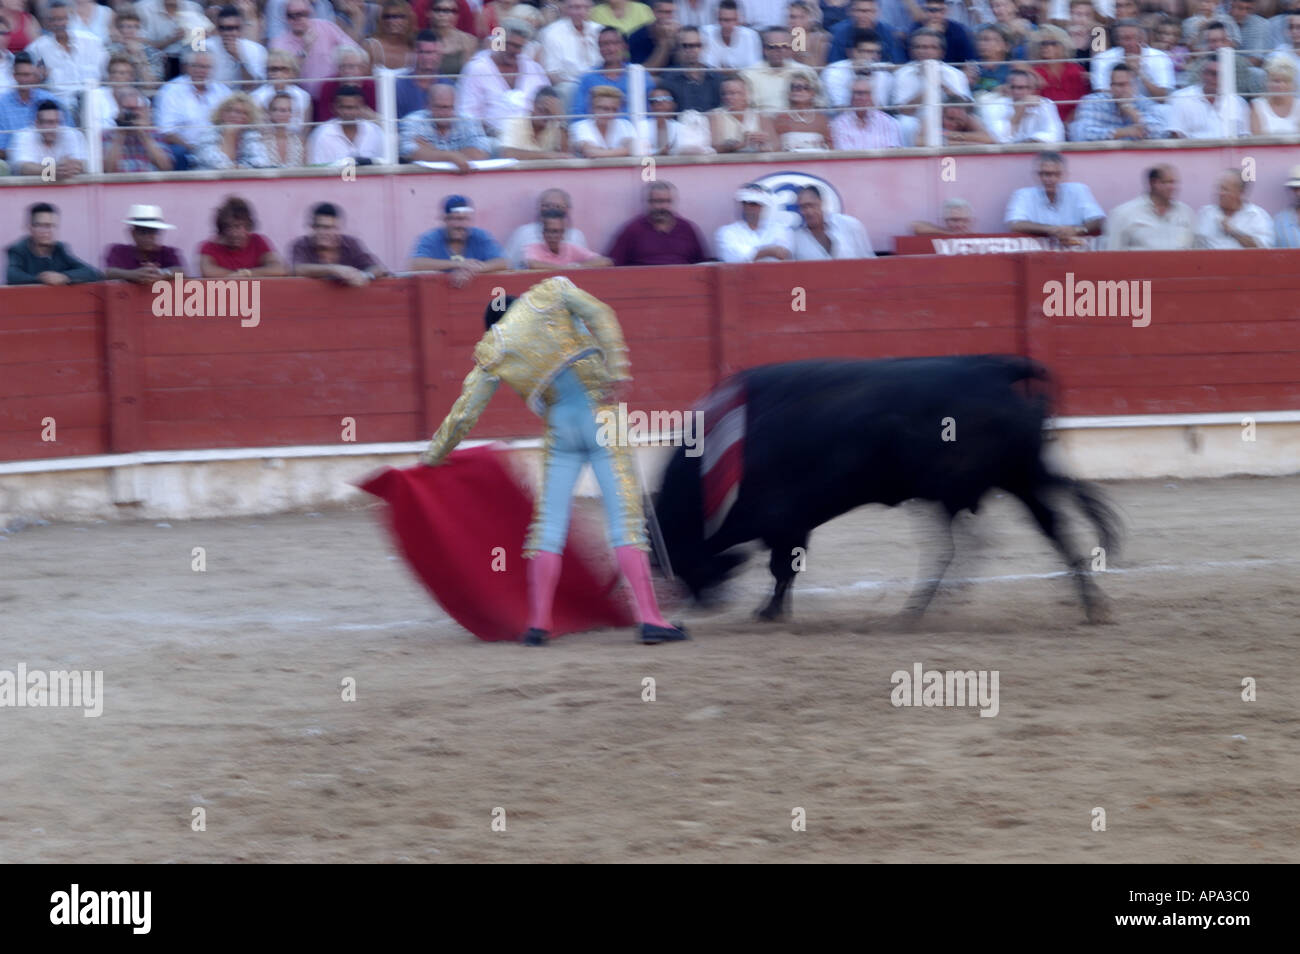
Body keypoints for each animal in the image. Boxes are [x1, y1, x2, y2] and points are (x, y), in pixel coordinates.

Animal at [655, 356, 1123, 623]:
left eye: (677, 554)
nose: (702, 604)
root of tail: (996, 371)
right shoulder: (790, 525)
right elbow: (786, 569)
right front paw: (775, 610)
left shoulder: (785, 522)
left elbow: (782, 568)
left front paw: (769, 612)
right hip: (1014, 476)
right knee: (1050, 515)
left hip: (1002, 479)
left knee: (1037, 524)